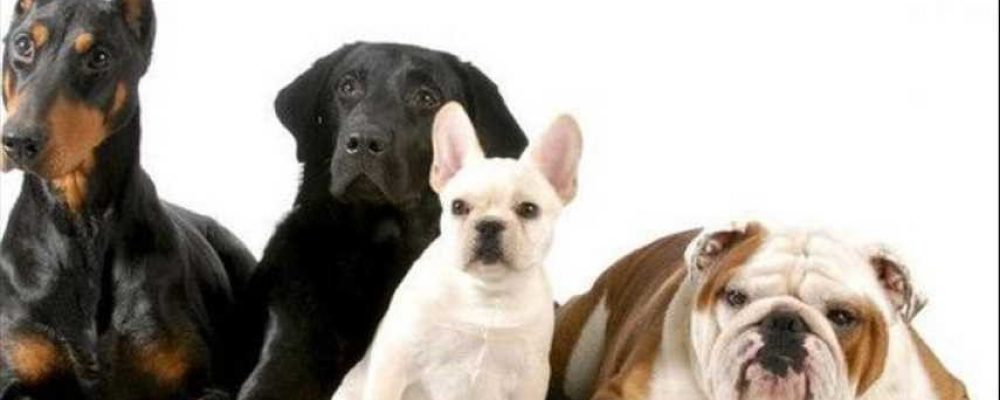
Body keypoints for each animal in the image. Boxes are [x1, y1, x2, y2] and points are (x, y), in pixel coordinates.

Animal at [332, 103, 581, 400]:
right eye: (458, 206)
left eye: (529, 210)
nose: (489, 224)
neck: (485, 292)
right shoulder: (394, 361)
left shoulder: (529, 379)